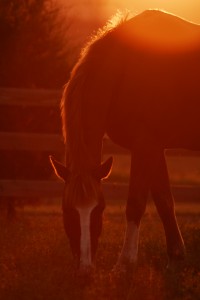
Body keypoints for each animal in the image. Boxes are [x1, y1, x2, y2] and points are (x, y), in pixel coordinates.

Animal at [49, 9, 200, 276]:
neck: (126, 69)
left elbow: (136, 204)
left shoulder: (144, 146)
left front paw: (124, 264)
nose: (85, 270)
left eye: (99, 209)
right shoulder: (154, 149)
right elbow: (164, 201)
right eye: (67, 210)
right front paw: (175, 260)